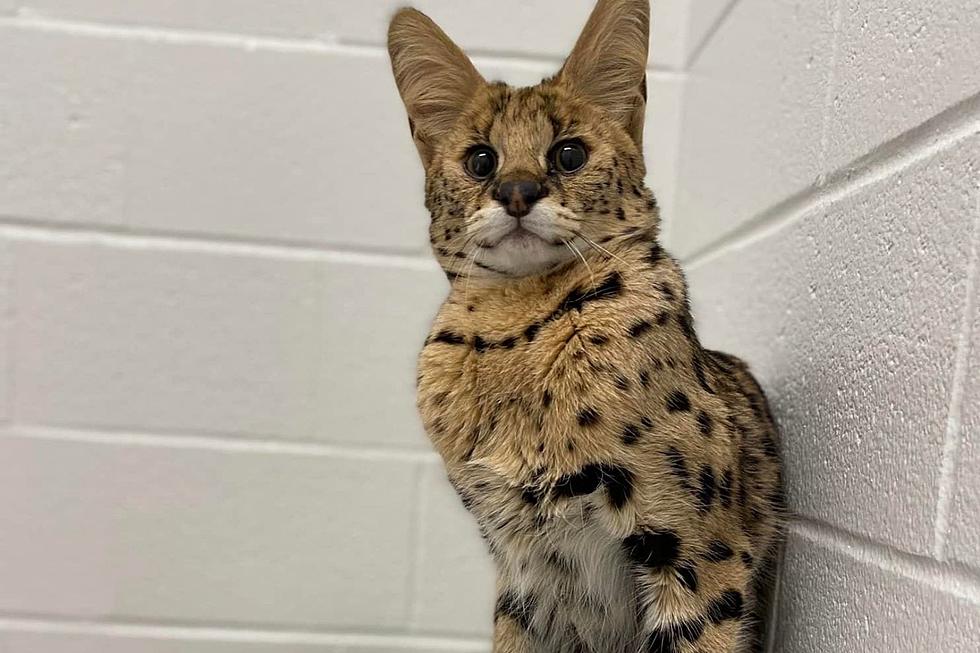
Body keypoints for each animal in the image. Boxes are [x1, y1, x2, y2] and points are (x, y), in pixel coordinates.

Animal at [386, 2, 784, 648]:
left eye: (569, 154)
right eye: (480, 160)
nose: (517, 192)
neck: (516, 325)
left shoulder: (699, 551)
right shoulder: (523, 572)